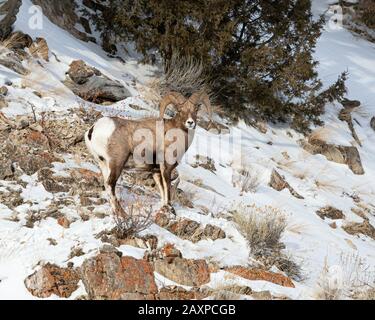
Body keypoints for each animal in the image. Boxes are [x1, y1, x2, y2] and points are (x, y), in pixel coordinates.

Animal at [84, 91, 212, 214]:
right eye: (180, 110)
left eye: (196, 110)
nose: (190, 122)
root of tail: (93, 129)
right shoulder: (166, 168)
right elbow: (167, 188)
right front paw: (170, 209)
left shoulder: (156, 171)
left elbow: (162, 190)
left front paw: (164, 207)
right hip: (116, 164)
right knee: (110, 184)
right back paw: (123, 215)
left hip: (103, 164)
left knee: (106, 184)